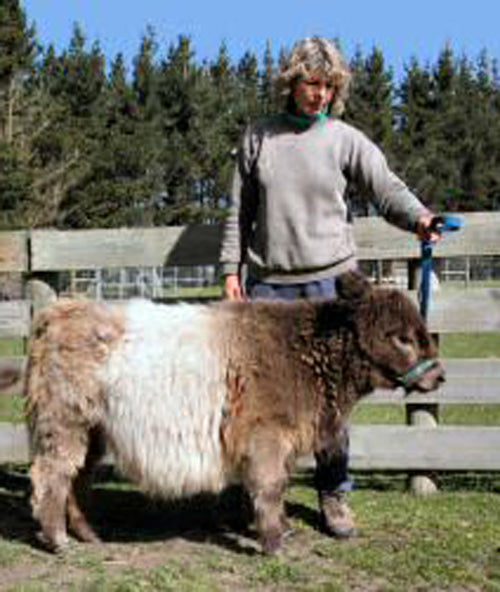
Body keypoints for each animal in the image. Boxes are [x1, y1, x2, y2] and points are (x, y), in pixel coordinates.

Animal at [21, 272, 444, 556]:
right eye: (401, 337)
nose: (439, 375)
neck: (306, 354)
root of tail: (58, 311)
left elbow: (278, 485)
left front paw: (280, 530)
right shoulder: (266, 434)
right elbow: (270, 486)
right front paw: (273, 544)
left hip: (92, 430)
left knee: (77, 479)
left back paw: (87, 535)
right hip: (64, 422)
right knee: (52, 476)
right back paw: (58, 541)